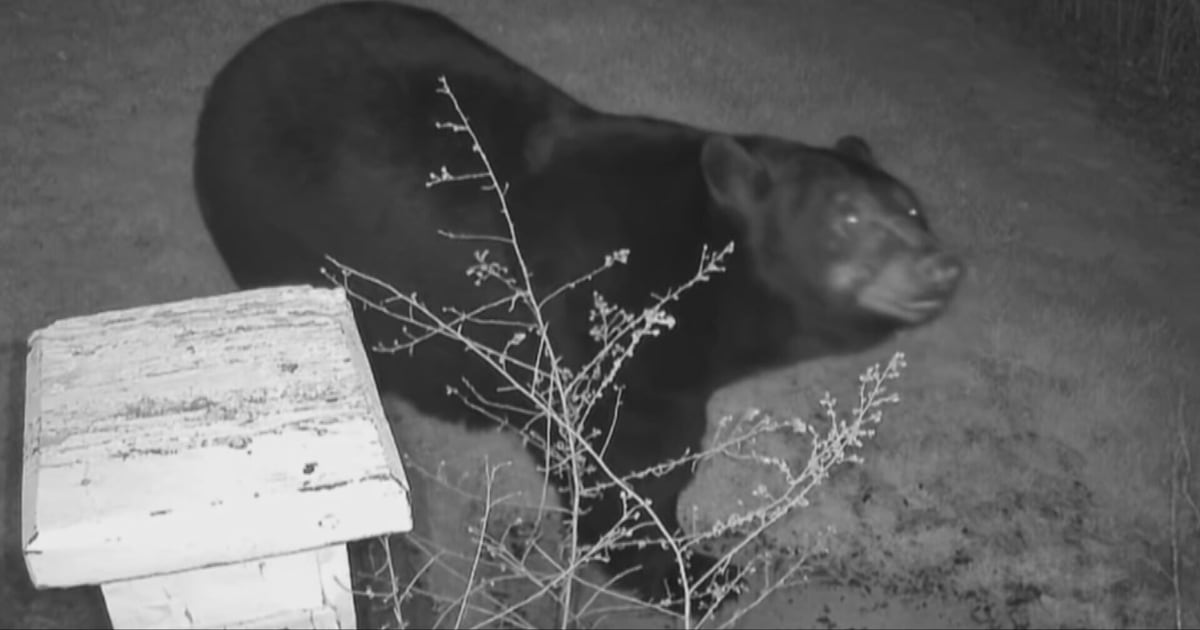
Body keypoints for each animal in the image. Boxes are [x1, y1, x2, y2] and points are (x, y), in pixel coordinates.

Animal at [192, 0, 963, 616]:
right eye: (848, 217)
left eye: (913, 207)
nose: (942, 265)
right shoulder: (593, 331)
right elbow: (618, 465)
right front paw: (693, 574)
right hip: (268, 231)